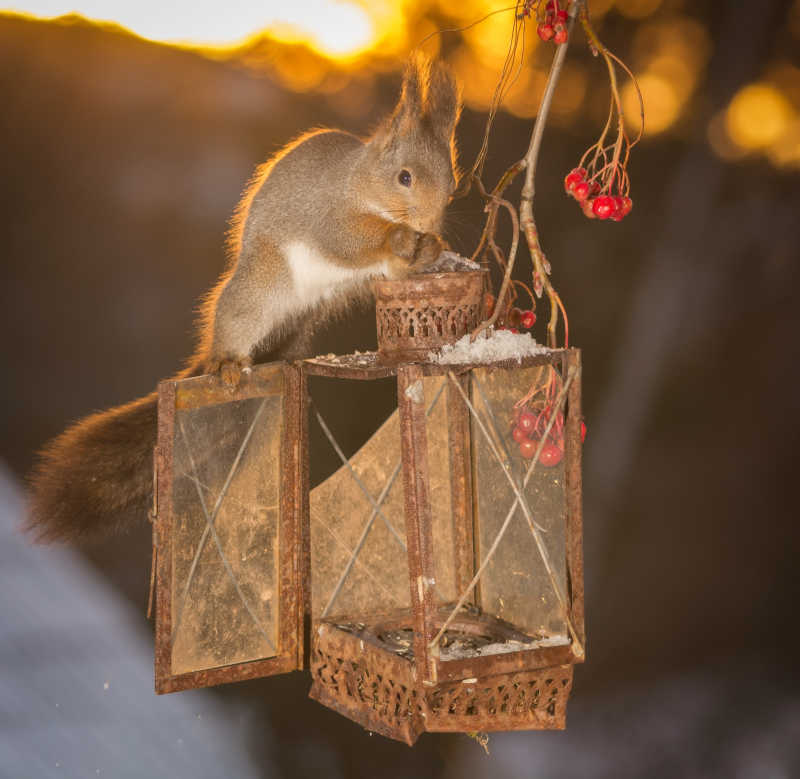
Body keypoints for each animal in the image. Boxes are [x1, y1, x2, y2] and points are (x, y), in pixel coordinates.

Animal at [26, 54, 462, 544]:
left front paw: (431, 247)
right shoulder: (330, 218)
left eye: (452, 182)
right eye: (404, 177)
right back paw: (227, 362)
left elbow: (398, 267)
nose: (429, 222)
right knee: (232, 321)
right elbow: (350, 239)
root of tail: (296, 310)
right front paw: (403, 238)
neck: (361, 183)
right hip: (260, 287)